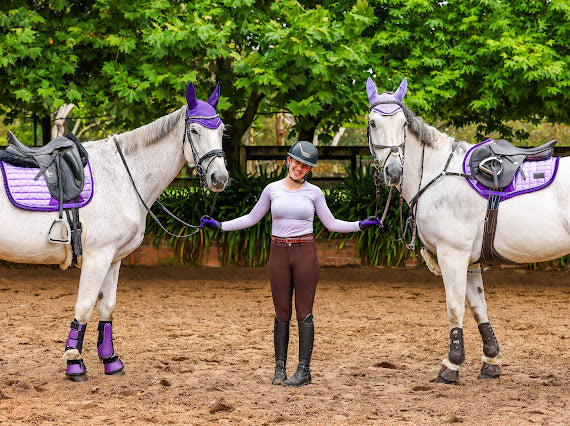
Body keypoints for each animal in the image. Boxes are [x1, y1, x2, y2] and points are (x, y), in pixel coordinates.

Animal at [2, 82, 229, 380]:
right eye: (194, 131)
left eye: (222, 130)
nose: (219, 178)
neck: (123, 176)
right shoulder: (97, 257)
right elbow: (84, 306)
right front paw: (74, 362)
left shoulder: (113, 259)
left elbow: (106, 308)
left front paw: (110, 360)